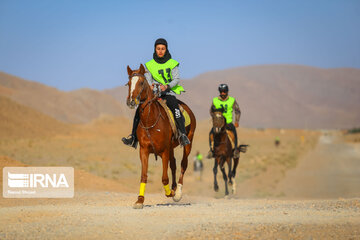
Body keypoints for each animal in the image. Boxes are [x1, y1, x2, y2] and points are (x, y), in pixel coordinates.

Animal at [126, 63, 197, 208]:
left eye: (141, 82)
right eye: (128, 83)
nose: (131, 102)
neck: (151, 119)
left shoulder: (164, 151)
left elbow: (164, 178)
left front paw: (171, 193)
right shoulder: (144, 151)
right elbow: (144, 175)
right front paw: (140, 200)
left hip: (188, 143)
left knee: (183, 164)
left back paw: (178, 192)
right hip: (171, 148)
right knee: (174, 164)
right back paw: (174, 188)